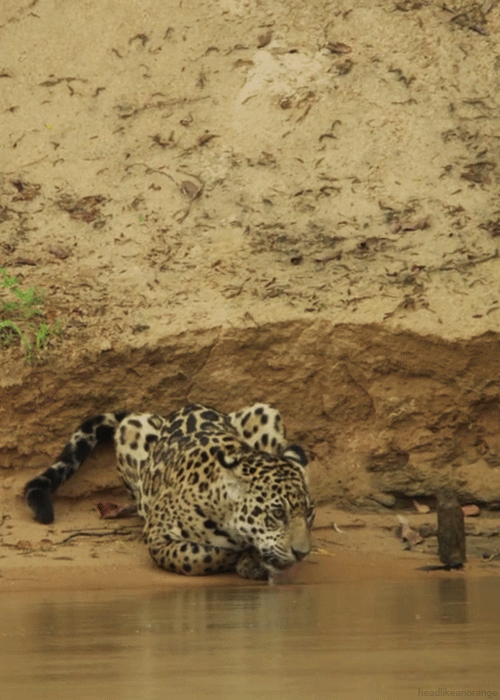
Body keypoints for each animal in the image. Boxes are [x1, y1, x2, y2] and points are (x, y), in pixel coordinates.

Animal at [24, 403, 315, 580]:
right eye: (277, 514)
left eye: (310, 513)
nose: (303, 553)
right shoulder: (157, 537)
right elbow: (199, 555)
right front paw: (243, 557)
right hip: (132, 429)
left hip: (264, 411)